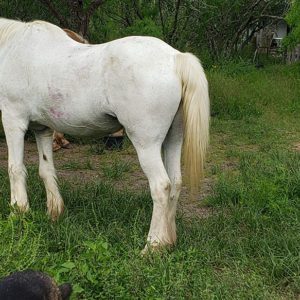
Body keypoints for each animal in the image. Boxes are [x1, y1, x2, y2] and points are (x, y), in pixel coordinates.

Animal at [0, 17, 209, 250]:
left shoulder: (13, 120)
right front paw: (54, 213)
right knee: (176, 182)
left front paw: (18, 213)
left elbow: (15, 168)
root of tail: (175, 58)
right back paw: (168, 242)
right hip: (173, 139)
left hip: (147, 144)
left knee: (161, 187)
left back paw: (152, 246)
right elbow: (46, 170)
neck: (11, 46)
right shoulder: (42, 129)